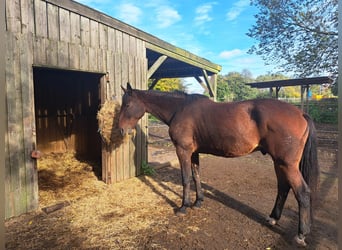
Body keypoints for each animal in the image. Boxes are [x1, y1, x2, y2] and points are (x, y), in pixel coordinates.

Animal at [119, 82, 320, 246]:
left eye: (127, 104)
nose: (121, 130)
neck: (180, 109)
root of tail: (301, 113)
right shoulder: (194, 152)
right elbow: (196, 176)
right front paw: (198, 202)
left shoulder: (183, 151)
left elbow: (186, 178)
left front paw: (183, 207)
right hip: (279, 163)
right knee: (283, 188)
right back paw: (272, 218)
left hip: (287, 165)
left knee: (302, 192)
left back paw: (301, 234)